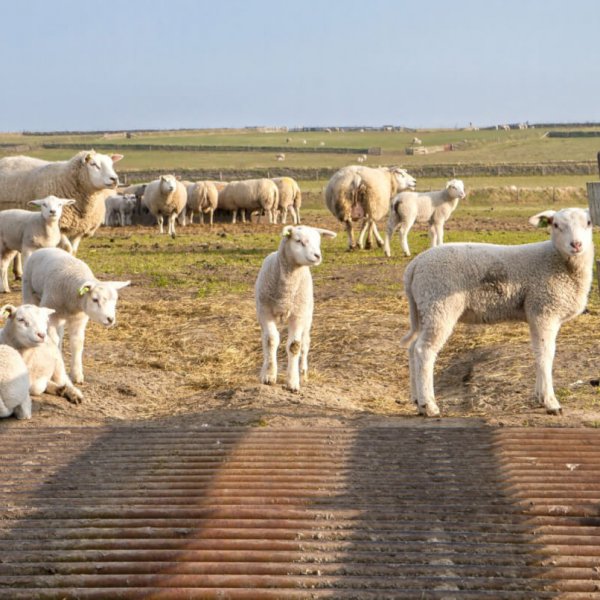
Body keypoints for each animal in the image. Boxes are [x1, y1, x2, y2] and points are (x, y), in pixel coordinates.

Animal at [22, 247, 130, 384]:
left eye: (115, 299)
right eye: (95, 299)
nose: (110, 319)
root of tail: (46, 248)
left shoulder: (79, 319)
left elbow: (77, 343)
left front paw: (77, 375)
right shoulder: (51, 317)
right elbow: (53, 340)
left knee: (61, 334)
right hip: (29, 291)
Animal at [254, 225, 338, 394]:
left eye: (319, 242)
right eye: (299, 241)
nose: (317, 256)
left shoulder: (298, 315)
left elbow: (294, 346)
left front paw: (293, 382)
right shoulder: (265, 312)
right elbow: (270, 340)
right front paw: (269, 375)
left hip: (308, 316)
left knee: (305, 344)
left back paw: (303, 373)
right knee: (265, 340)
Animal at [400, 206, 592, 418]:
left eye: (589, 223)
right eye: (556, 225)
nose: (576, 244)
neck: (558, 261)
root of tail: (415, 265)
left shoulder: (537, 312)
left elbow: (538, 353)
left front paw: (539, 397)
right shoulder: (543, 310)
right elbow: (545, 354)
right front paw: (550, 402)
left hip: (423, 308)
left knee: (412, 348)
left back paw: (417, 401)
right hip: (439, 304)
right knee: (424, 350)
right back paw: (429, 406)